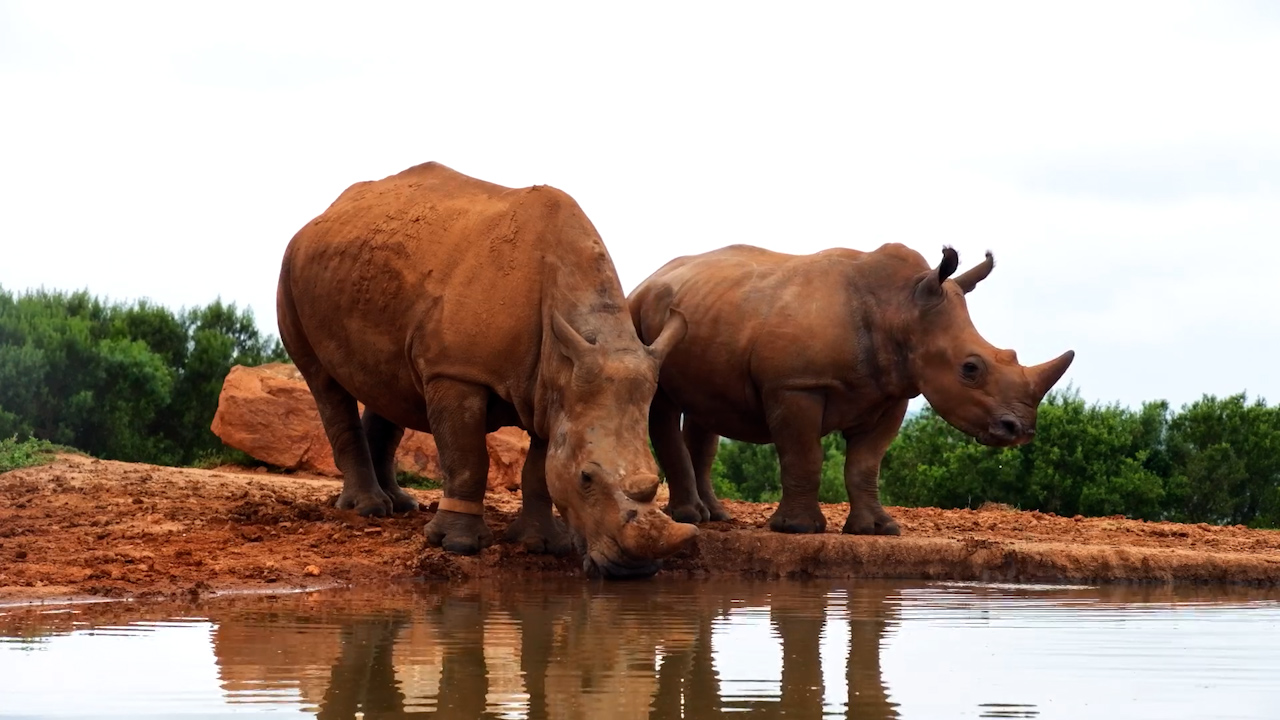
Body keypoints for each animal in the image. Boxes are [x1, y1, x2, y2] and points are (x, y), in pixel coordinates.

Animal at [277, 162, 696, 577]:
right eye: (586, 477)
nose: (633, 571)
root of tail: (321, 217)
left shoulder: (552, 388)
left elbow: (539, 470)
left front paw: (542, 544)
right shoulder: (456, 372)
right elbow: (468, 460)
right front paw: (458, 545)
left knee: (387, 386)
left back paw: (400, 505)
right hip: (289, 270)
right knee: (325, 383)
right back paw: (368, 510)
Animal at [629, 243, 1074, 535]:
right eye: (970, 369)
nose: (1020, 430)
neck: (900, 307)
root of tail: (650, 278)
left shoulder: (894, 393)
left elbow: (865, 463)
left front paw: (877, 528)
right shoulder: (796, 385)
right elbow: (805, 455)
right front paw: (798, 529)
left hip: (711, 314)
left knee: (705, 412)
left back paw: (716, 517)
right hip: (642, 319)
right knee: (661, 402)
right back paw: (690, 519)